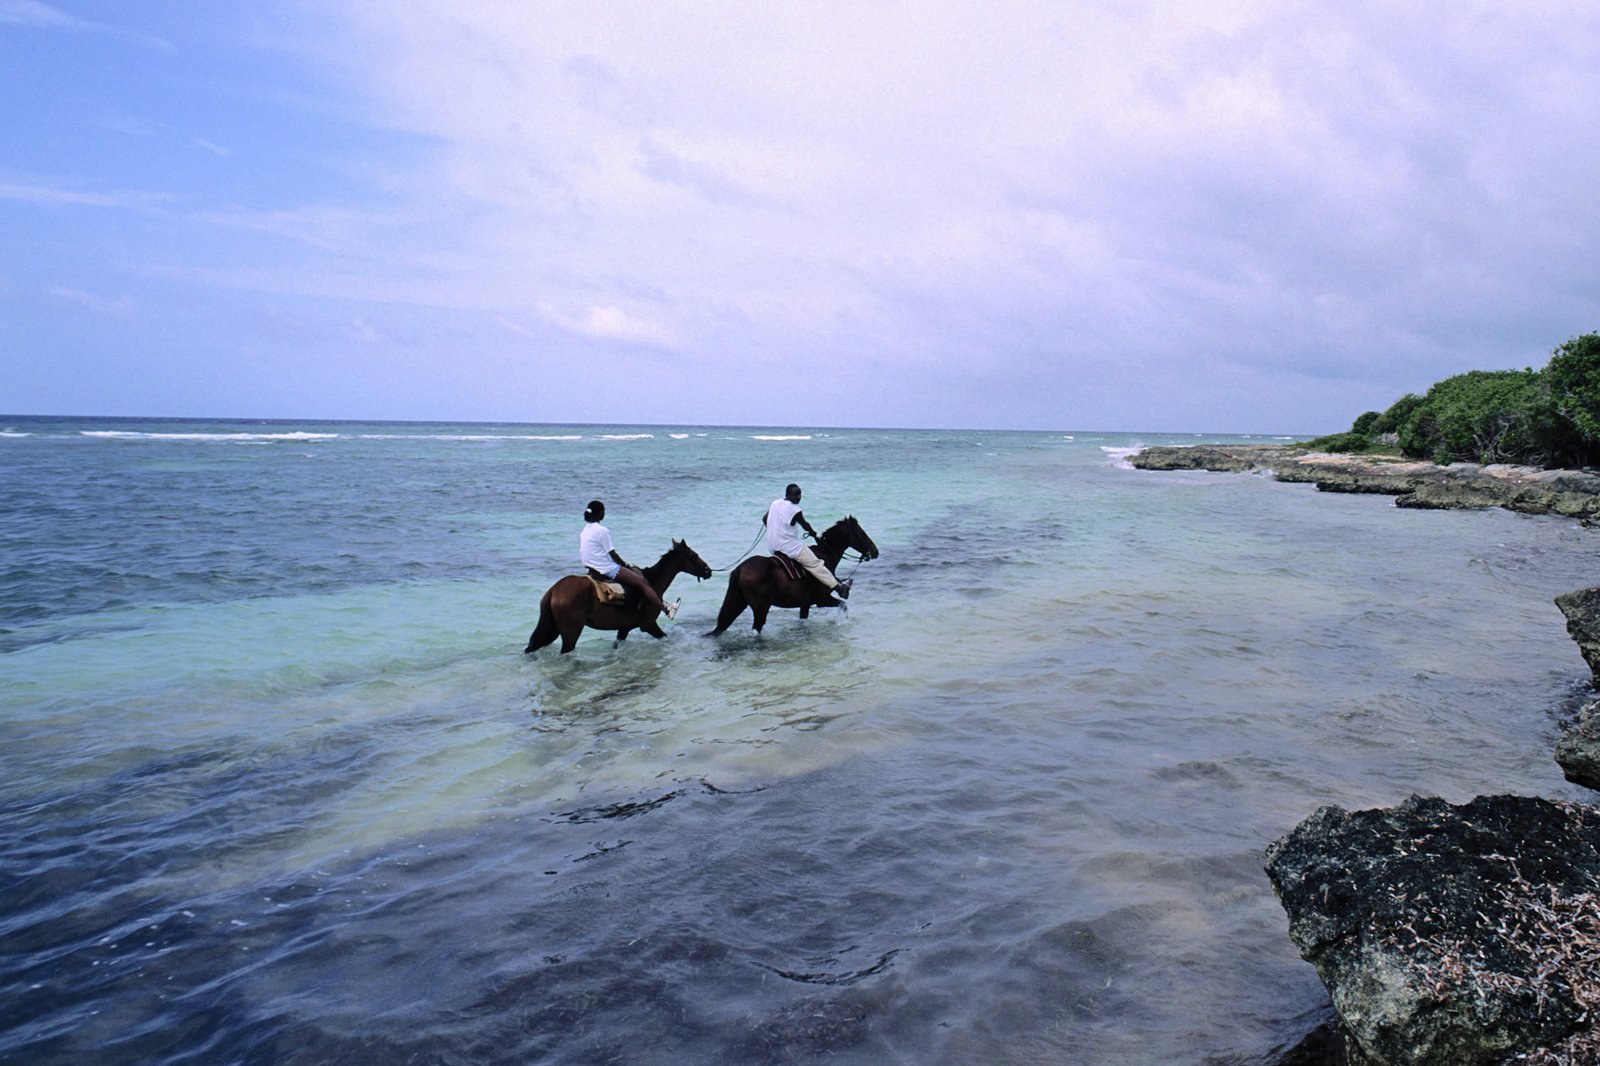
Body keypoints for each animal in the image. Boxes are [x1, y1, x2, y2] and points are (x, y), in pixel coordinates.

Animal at [524, 534, 713, 653]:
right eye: (693, 555)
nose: (708, 571)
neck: (652, 581)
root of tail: (553, 591)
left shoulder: (624, 628)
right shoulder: (648, 625)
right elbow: (664, 637)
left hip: (552, 629)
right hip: (571, 633)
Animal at [707, 512, 883, 633]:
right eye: (861, 532)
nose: (875, 551)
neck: (826, 554)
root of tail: (740, 568)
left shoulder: (804, 604)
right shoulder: (822, 599)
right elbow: (843, 605)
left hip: (740, 602)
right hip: (761, 608)